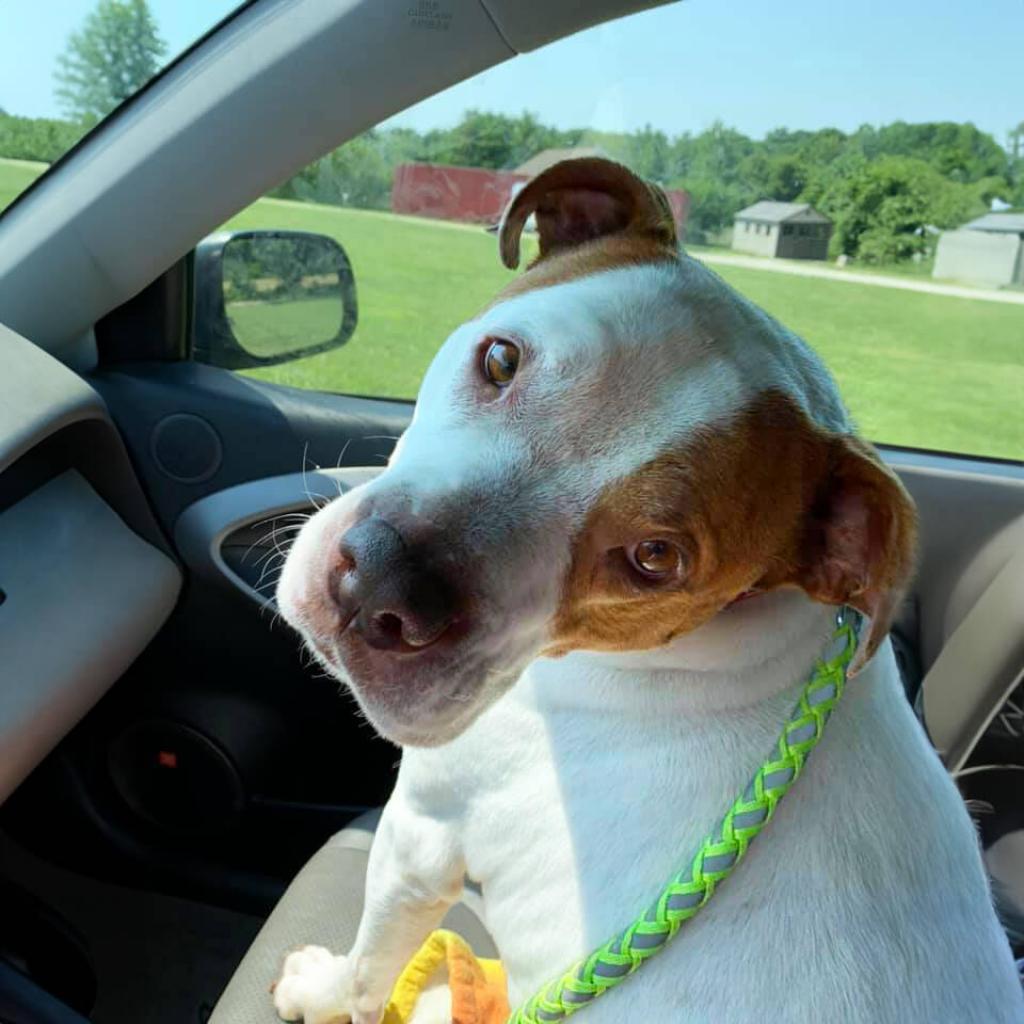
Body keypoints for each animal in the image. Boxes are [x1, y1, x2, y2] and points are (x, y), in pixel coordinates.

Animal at [268, 159, 1019, 1024]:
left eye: (654, 557)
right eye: (500, 360)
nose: (384, 582)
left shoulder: (418, 838)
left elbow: (368, 968)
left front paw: (319, 988)